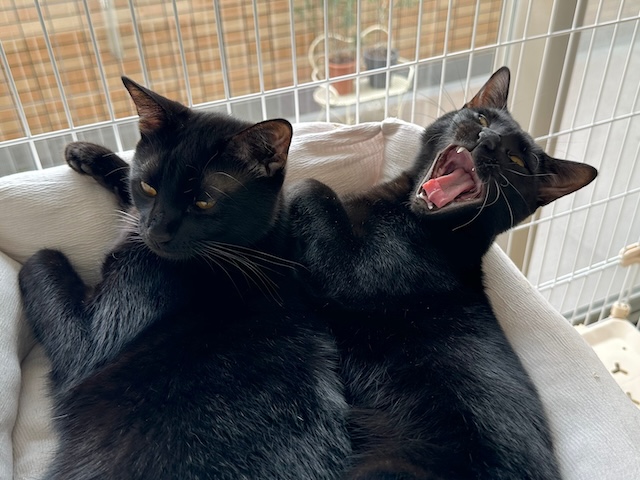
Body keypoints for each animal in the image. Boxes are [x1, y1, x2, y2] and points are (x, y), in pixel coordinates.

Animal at [18, 77, 350, 479]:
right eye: (149, 186)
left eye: (204, 202)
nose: (157, 231)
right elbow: (128, 194)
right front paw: (90, 153)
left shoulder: (90, 339)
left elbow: (42, 258)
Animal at [286, 66, 598, 480]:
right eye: (482, 119)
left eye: (517, 159)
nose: (487, 141)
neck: (408, 214)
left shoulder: (355, 273)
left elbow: (315, 188)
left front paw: (290, 188)